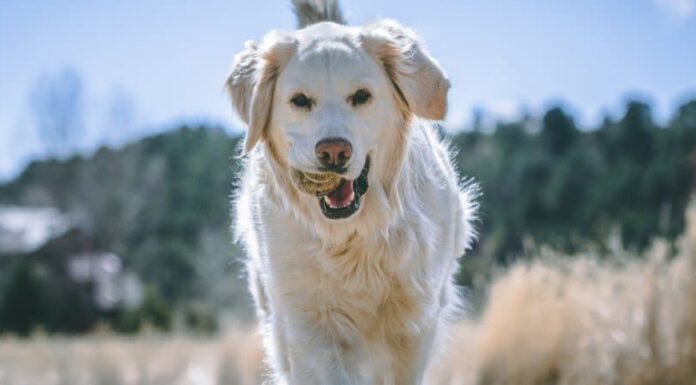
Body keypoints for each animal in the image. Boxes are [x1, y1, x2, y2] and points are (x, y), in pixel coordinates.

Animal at [226, 1, 476, 382]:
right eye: (300, 100)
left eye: (361, 96)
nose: (334, 151)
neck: (353, 236)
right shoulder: (309, 326)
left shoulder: (413, 325)